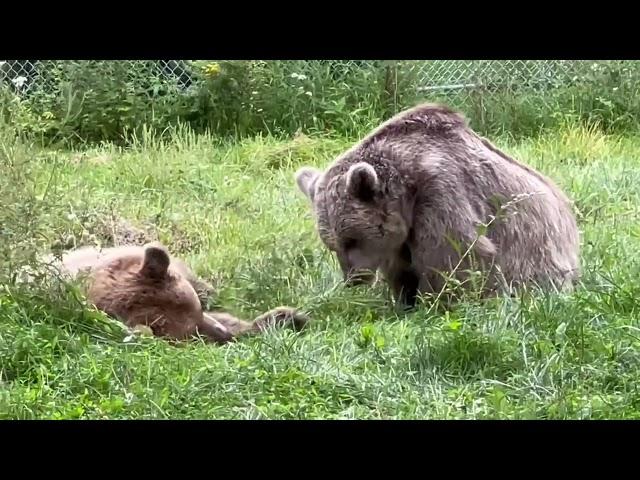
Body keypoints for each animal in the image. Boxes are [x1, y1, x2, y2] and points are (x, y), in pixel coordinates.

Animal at [296, 102, 580, 308]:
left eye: (352, 239)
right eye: (332, 245)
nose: (353, 279)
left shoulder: (440, 192)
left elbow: (454, 256)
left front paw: (433, 302)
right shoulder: (401, 236)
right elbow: (401, 268)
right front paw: (404, 300)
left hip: (540, 261)